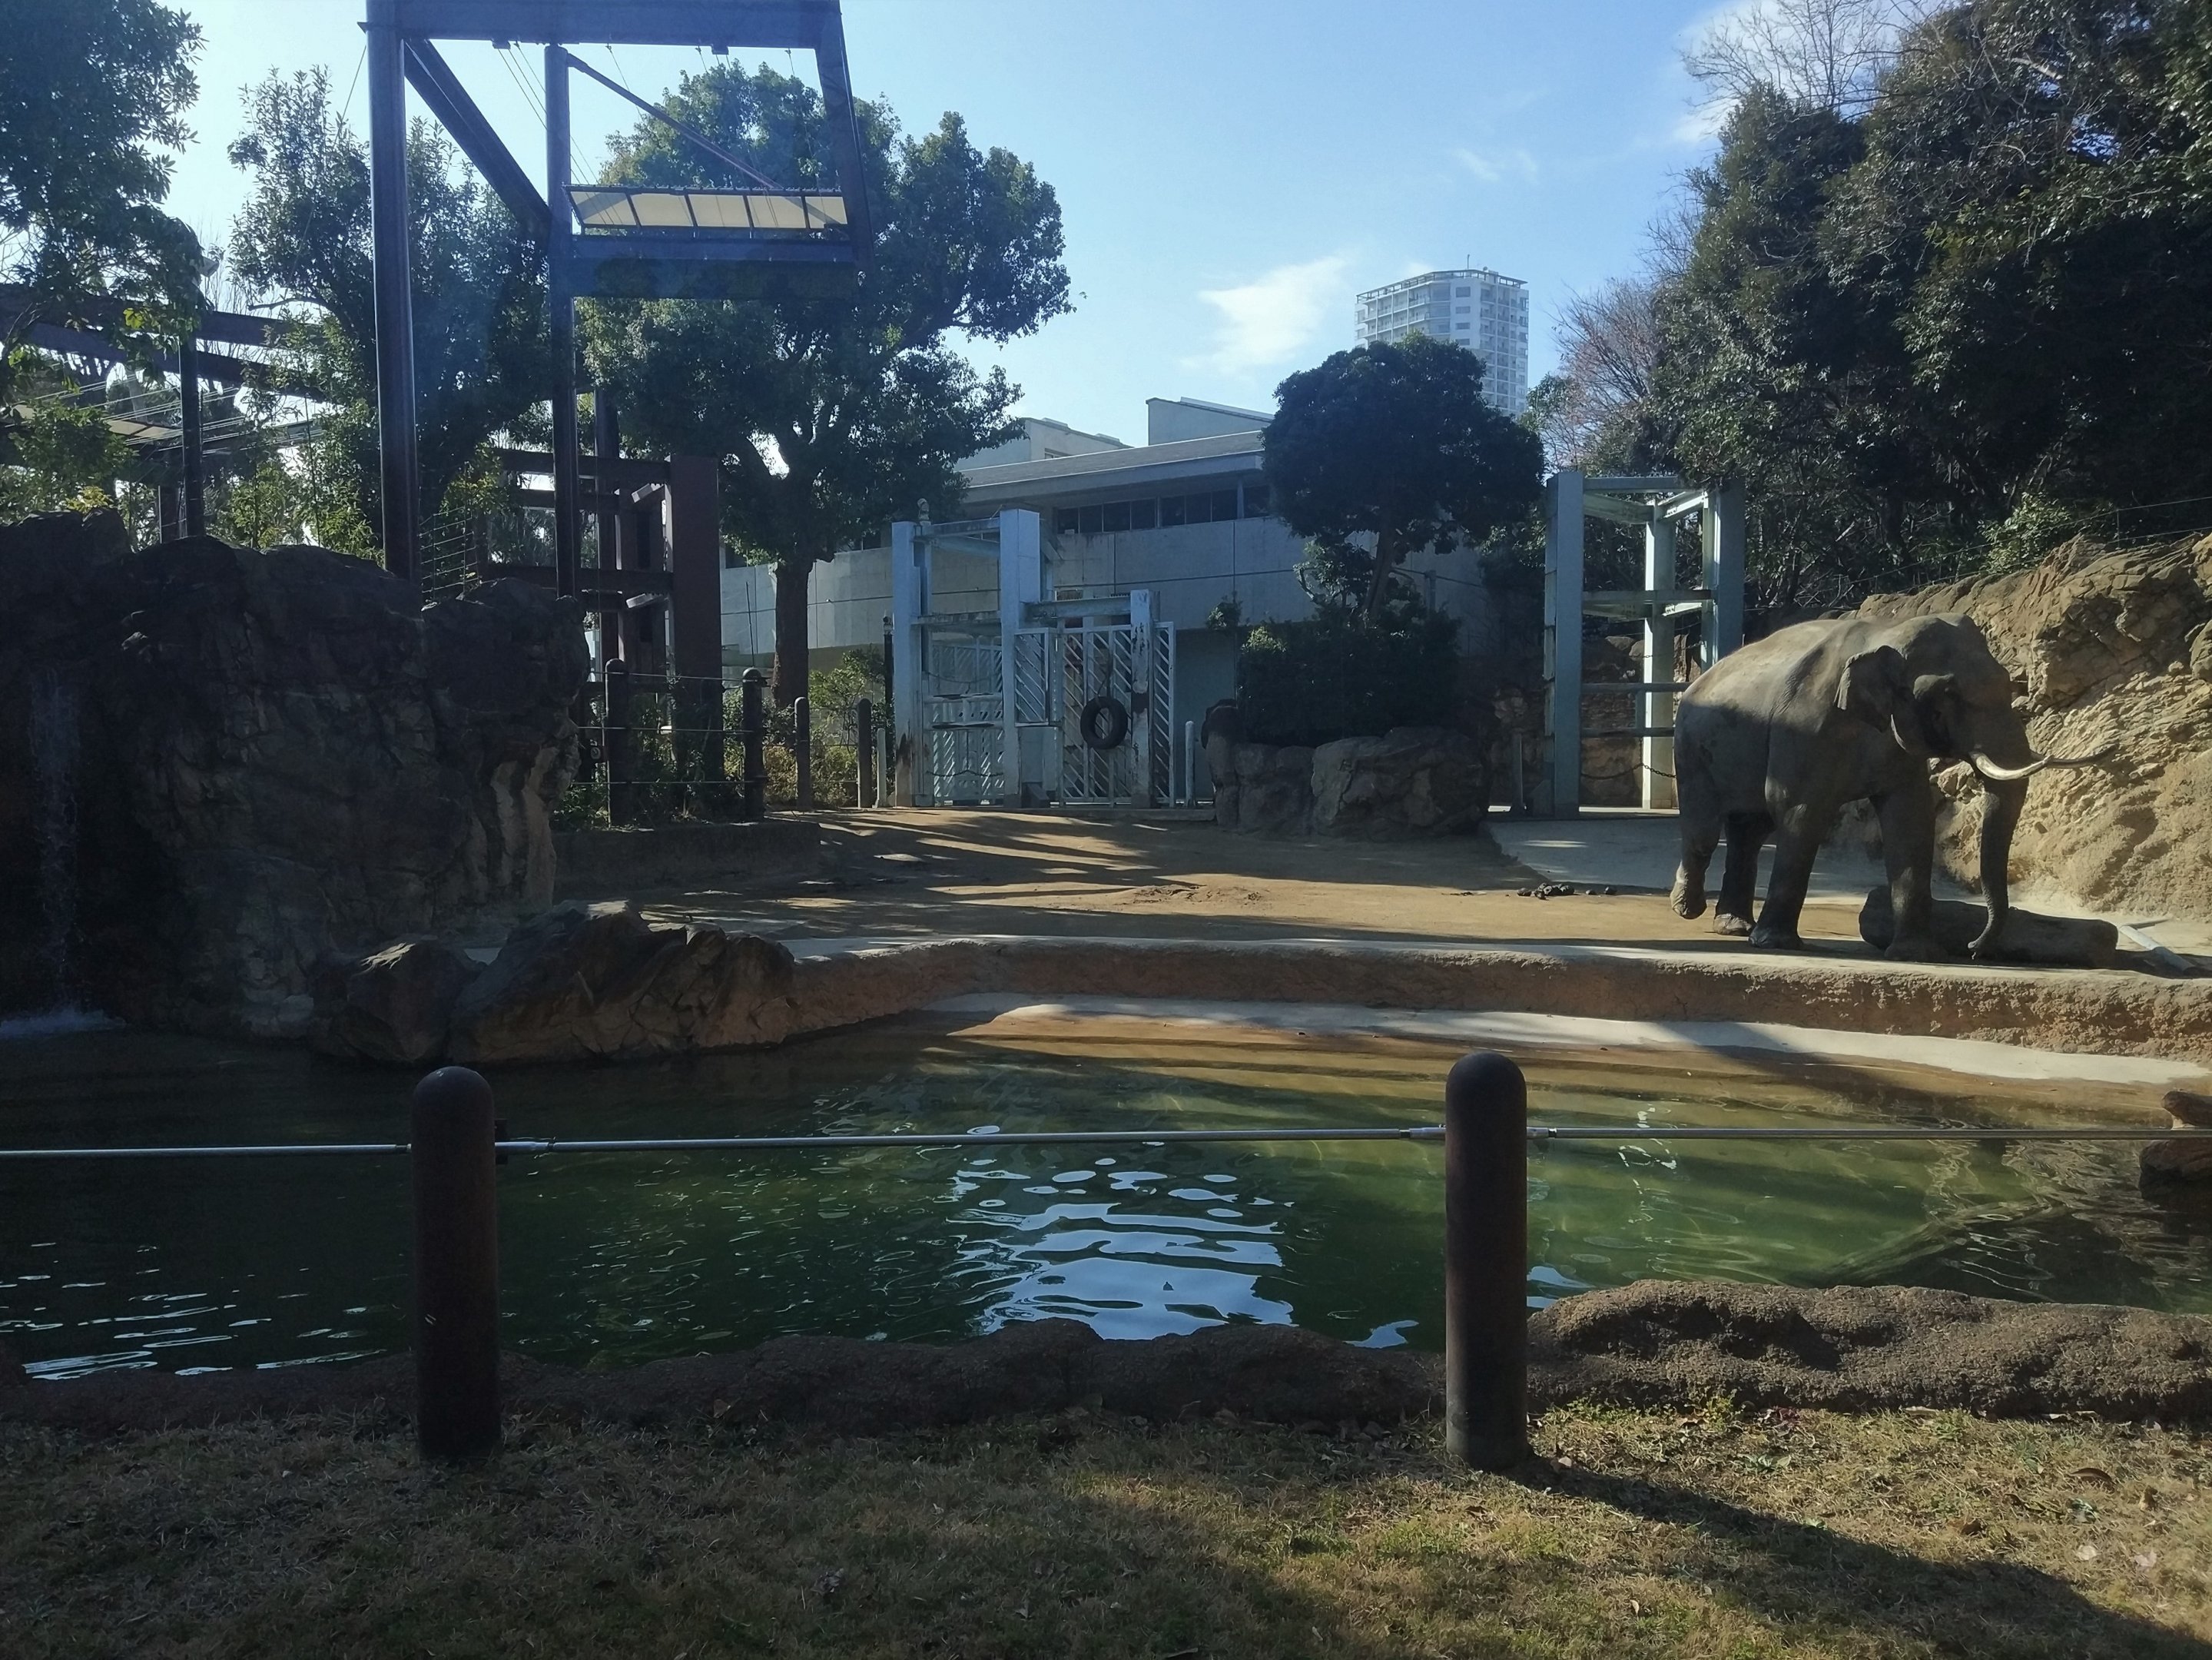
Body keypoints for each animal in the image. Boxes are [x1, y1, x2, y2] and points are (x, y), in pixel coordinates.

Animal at [1668, 612, 2105, 960]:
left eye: (2008, 684)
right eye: (1947, 695)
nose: (1972, 948)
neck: (1885, 634)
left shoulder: (1899, 746)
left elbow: (1910, 820)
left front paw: (1916, 954)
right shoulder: (1804, 729)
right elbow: (1800, 813)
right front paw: (1775, 944)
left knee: (1750, 830)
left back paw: (1734, 926)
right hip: (1691, 745)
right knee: (1706, 830)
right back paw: (1689, 910)